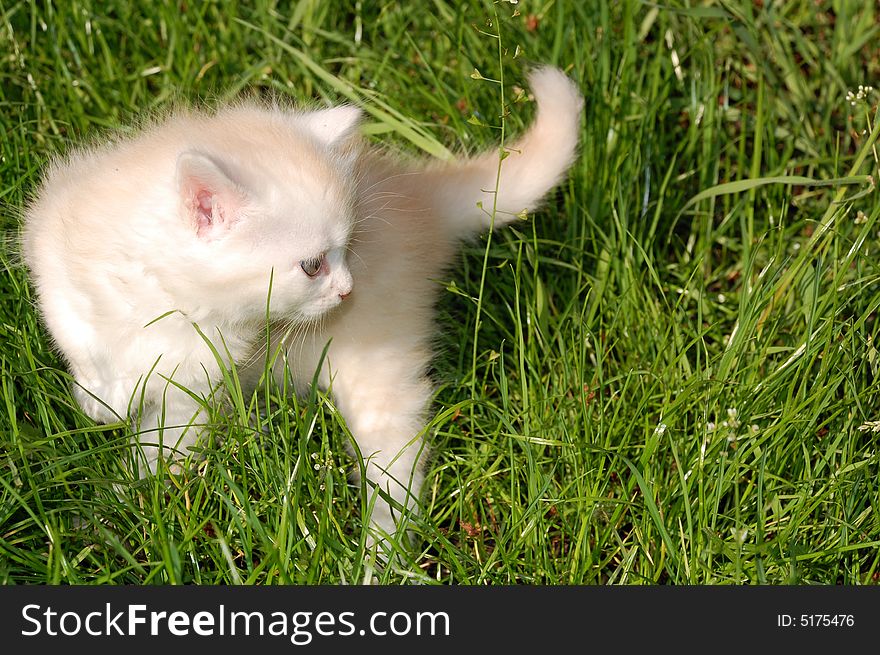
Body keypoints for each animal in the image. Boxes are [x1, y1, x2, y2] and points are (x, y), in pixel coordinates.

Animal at [22, 65, 584, 548]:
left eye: (348, 248)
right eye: (313, 265)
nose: (348, 290)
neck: (173, 298)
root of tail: (419, 197)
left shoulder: (198, 385)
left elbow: (162, 448)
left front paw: (126, 506)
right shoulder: (53, 252)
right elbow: (76, 333)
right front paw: (100, 404)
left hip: (380, 370)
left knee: (396, 479)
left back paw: (379, 560)